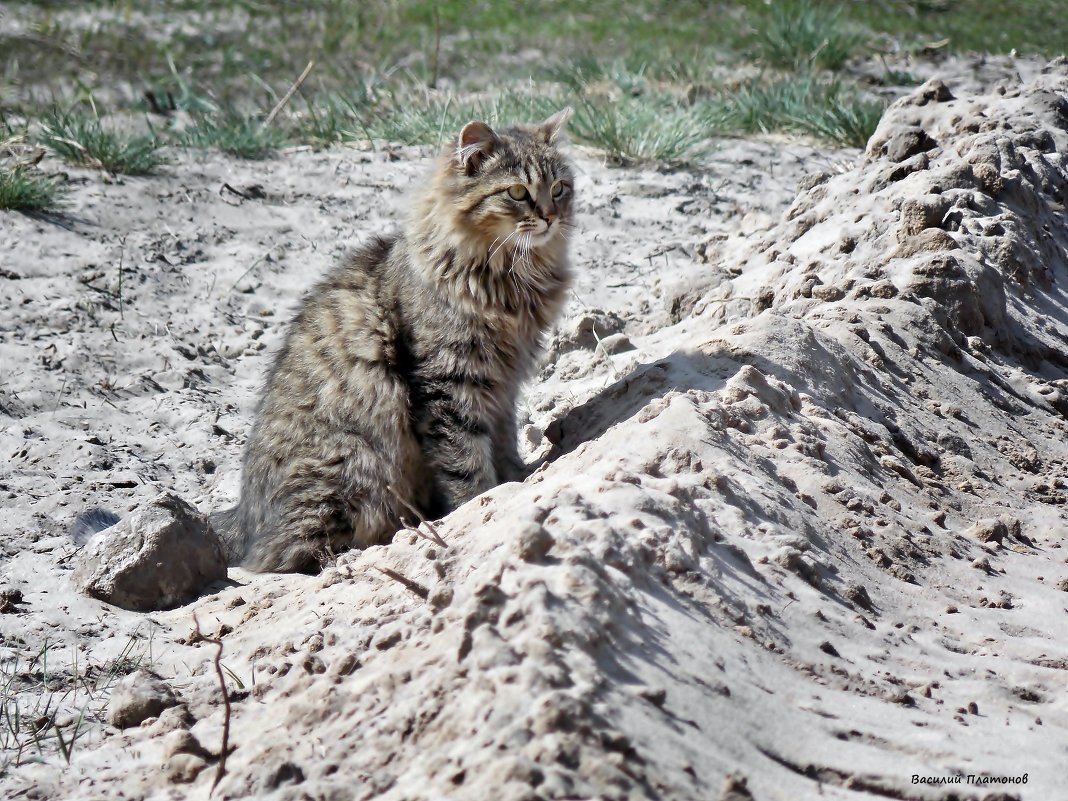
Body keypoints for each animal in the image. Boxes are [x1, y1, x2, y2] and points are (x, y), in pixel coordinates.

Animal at [75, 110, 576, 576]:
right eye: (517, 193)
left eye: (560, 188)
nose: (551, 217)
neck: (511, 282)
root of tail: (245, 514)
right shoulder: (449, 381)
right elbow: (464, 462)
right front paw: (485, 501)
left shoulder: (503, 386)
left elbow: (504, 443)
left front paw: (519, 479)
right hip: (354, 461)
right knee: (281, 557)